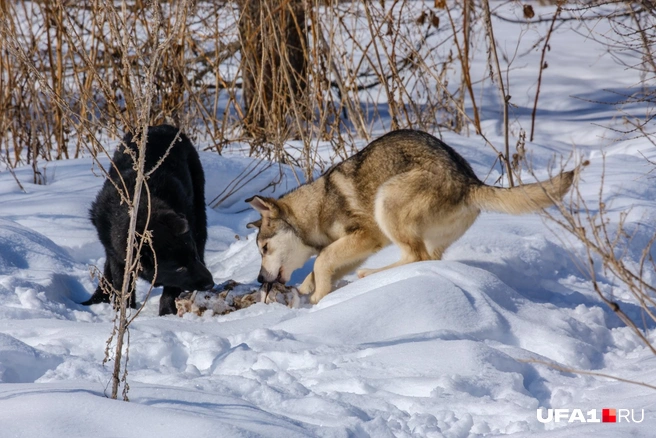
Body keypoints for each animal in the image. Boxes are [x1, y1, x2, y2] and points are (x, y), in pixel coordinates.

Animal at [79, 124, 213, 314]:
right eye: (179, 268)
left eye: (192, 256)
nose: (210, 283)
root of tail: (162, 126)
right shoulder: (118, 255)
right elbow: (122, 284)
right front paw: (124, 310)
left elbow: (170, 290)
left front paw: (166, 313)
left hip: (199, 213)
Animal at [246, 128, 576, 302]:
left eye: (264, 248)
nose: (259, 278)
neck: (317, 207)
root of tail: (469, 181)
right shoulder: (362, 246)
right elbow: (320, 267)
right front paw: (306, 289)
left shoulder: (366, 235)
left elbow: (322, 260)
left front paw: (318, 298)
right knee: (425, 259)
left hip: (387, 200)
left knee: (415, 257)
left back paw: (370, 276)